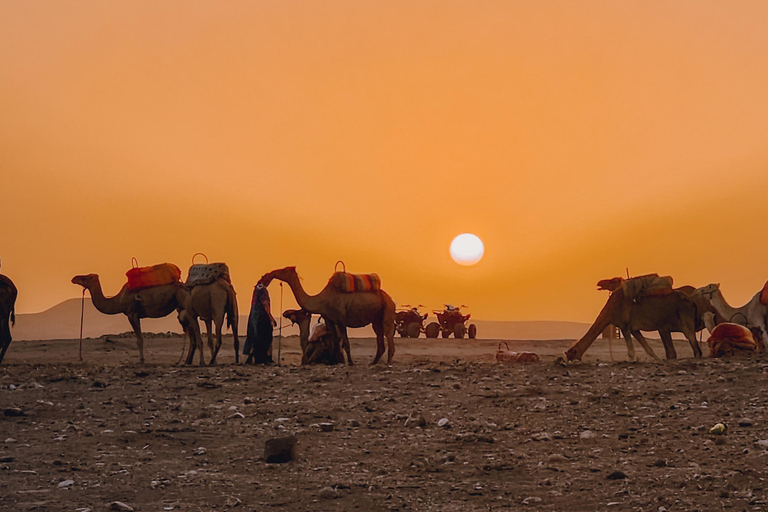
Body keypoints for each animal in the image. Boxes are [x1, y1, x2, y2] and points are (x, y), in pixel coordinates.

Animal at [258, 266, 396, 366]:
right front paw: (334, 361)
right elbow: (333, 341)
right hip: (376, 318)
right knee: (379, 335)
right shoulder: (329, 319)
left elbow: (345, 342)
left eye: (284, 270)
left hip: (387, 310)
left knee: (388, 333)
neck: (323, 300)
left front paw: (350, 363)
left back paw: (388, 362)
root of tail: (390, 298)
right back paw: (373, 363)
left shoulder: (341, 318)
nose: (268, 274)